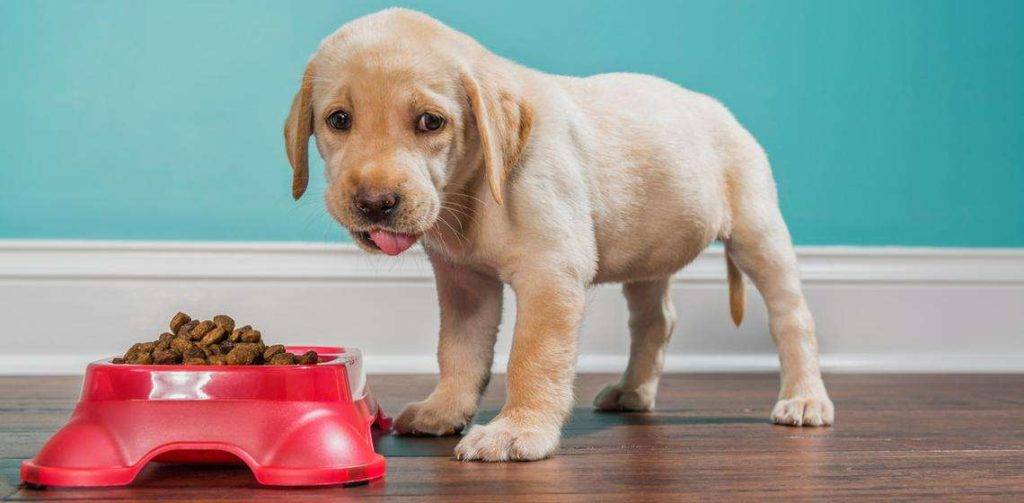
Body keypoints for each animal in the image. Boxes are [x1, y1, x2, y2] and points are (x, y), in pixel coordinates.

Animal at [282, 8, 831, 465]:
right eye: (338, 120)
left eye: (430, 122)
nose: (375, 203)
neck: (476, 184)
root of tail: (724, 112)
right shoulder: (465, 283)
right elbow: (458, 351)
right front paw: (446, 409)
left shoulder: (551, 274)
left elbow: (532, 357)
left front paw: (518, 431)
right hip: (649, 255)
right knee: (655, 321)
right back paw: (633, 391)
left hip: (757, 230)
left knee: (792, 318)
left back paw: (805, 398)